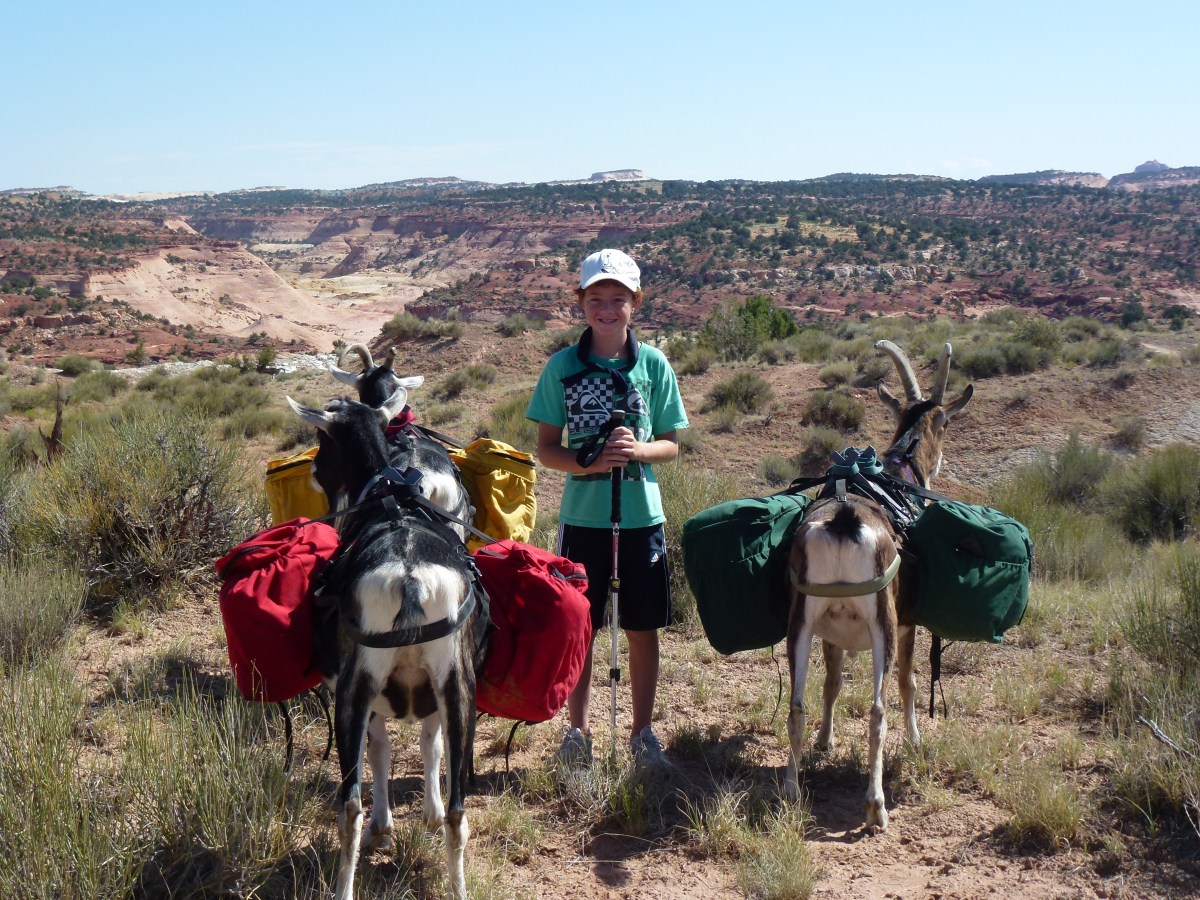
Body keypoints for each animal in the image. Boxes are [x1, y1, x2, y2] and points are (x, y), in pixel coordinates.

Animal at [288, 387, 485, 900]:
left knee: (348, 808)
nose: (314, 474)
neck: (388, 496)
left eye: (322, 441)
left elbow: (379, 750)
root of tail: (410, 577)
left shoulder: (364, 692)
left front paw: (385, 826)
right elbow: (430, 742)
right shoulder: (437, 691)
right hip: (459, 686)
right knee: (459, 811)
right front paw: (426, 814)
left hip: (354, 690)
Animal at [784, 340, 973, 831]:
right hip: (881, 624)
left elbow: (831, 684)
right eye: (945, 423)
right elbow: (908, 683)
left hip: (802, 620)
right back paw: (876, 806)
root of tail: (845, 519)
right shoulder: (907, 622)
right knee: (877, 709)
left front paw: (825, 742)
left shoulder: (829, 630)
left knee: (796, 705)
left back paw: (790, 790)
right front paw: (917, 740)